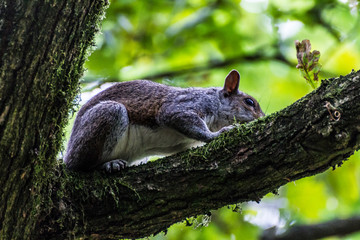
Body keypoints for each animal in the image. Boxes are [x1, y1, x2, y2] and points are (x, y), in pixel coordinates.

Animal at [64, 69, 264, 172]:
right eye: (249, 102)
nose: (261, 117)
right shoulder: (184, 105)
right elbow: (178, 116)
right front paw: (217, 134)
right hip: (108, 114)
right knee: (80, 166)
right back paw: (105, 165)